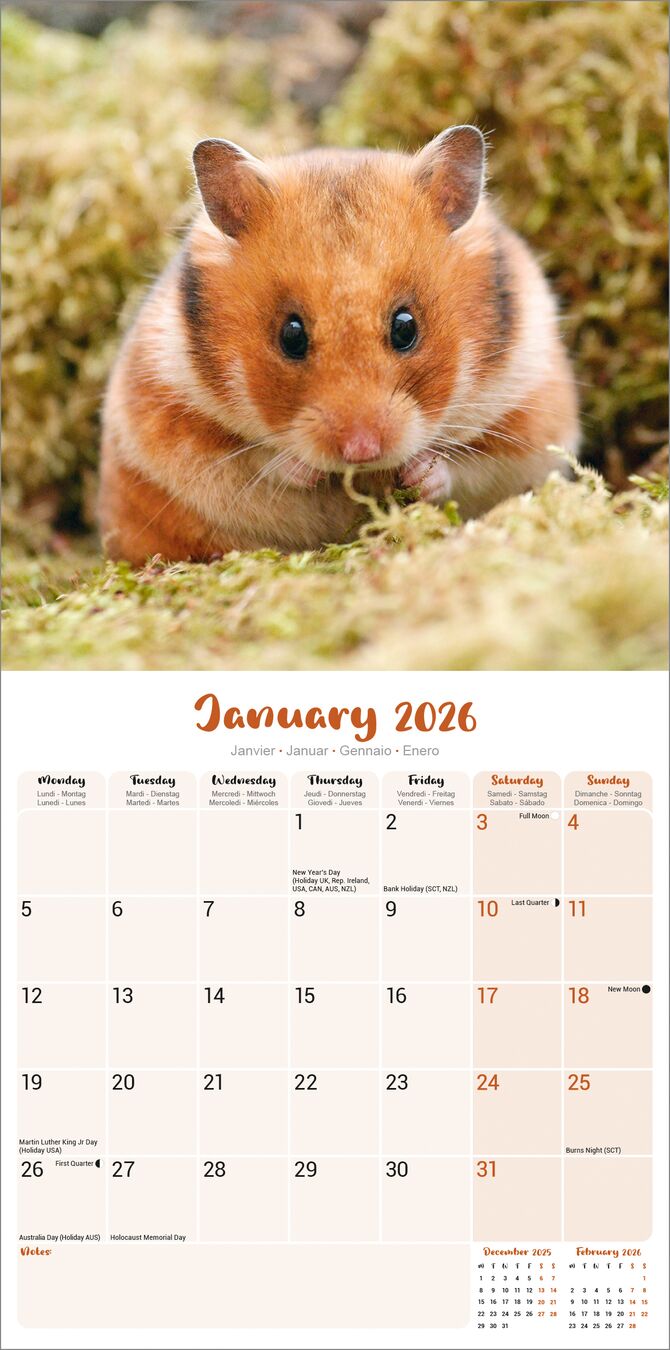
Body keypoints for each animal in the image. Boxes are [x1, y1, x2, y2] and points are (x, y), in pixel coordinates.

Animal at [99, 126, 579, 564]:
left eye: (406, 327)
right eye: (291, 335)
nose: (361, 451)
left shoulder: (533, 408)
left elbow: (471, 466)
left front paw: (419, 473)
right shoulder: (166, 414)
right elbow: (257, 461)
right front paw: (304, 469)